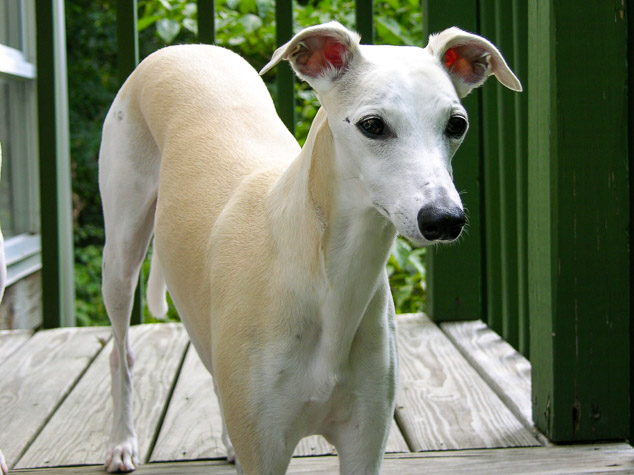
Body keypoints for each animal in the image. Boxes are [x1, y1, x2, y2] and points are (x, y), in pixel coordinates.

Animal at [99, 20, 516, 474]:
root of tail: (183, 48)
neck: (328, 280)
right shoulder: (265, 449)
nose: (444, 219)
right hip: (121, 253)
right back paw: (121, 442)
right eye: (373, 125)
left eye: (456, 124)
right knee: (121, 353)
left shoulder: (365, 440)